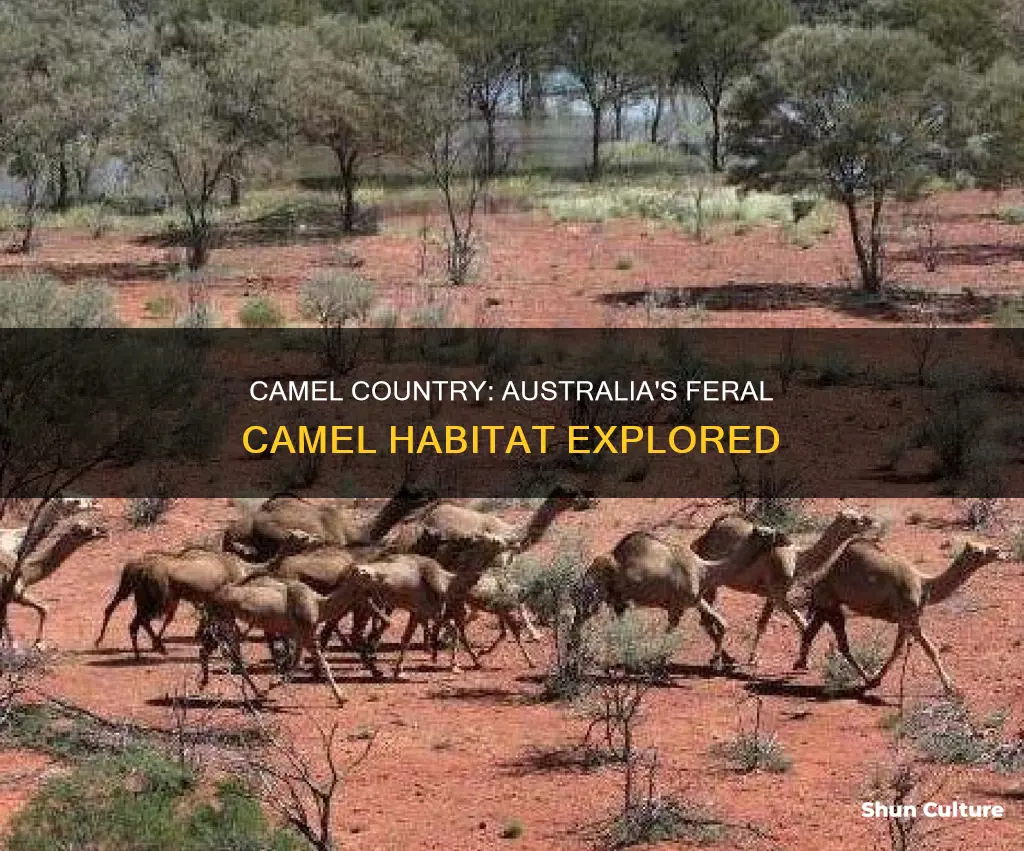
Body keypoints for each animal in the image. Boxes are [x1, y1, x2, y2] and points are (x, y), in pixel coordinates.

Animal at [0, 511, 108, 644]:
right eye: (85, 530)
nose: (103, 531)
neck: (26, 570)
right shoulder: (15, 594)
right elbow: (45, 608)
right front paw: (37, 642)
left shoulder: (7, 598)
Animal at [579, 525, 784, 669]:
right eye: (768, 533)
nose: (784, 536)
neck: (705, 570)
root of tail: (592, 564)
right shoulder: (676, 606)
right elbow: (669, 633)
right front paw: (660, 662)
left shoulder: (694, 600)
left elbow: (722, 623)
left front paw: (718, 661)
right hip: (596, 592)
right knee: (581, 617)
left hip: (618, 601)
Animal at [690, 509, 876, 664]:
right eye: (853, 520)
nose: (872, 521)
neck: (797, 559)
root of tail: (705, 536)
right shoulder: (779, 594)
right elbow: (802, 623)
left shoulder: (771, 595)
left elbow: (763, 624)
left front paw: (754, 657)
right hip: (710, 579)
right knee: (706, 618)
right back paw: (724, 658)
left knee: (705, 619)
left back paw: (726, 658)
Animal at [793, 539, 1002, 693]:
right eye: (979, 551)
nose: (1000, 551)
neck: (925, 585)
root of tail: (821, 578)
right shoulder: (909, 617)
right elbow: (930, 649)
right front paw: (950, 686)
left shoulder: (905, 621)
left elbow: (897, 650)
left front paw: (878, 677)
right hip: (830, 605)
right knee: (841, 644)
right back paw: (866, 678)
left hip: (826, 608)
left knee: (812, 633)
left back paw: (801, 664)